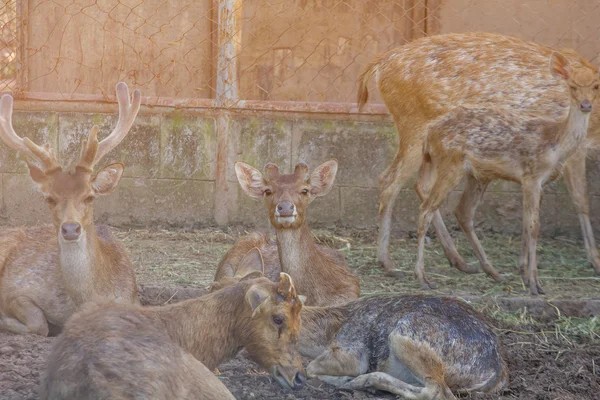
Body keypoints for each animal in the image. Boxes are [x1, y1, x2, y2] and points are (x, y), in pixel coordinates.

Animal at [211, 266, 506, 400]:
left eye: (277, 317)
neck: (327, 333)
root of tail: (496, 370)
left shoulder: (352, 350)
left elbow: (314, 368)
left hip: (408, 333)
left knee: (438, 391)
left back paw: (361, 382)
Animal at [412, 53, 600, 296]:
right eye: (572, 86)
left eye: (595, 86)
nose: (585, 105)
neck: (555, 144)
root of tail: (429, 134)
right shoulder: (531, 175)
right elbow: (534, 226)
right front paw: (535, 284)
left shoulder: (536, 182)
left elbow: (526, 223)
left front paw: (525, 275)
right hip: (451, 164)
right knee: (426, 209)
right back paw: (423, 278)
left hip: (476, 174)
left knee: (461, 210)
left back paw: (492, 272)